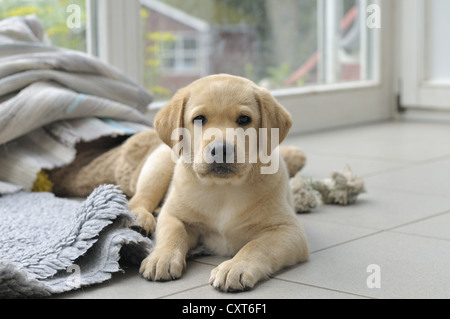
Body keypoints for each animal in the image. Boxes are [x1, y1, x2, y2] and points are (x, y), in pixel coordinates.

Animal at [134, 74, 310, 292]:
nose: (220, 149)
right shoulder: (173, 214)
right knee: (139, 198)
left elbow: (256, 246)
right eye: (199, 118)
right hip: (159, 166)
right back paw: (141, 217)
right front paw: (161, 257)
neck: (222, 188)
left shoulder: (287, 230)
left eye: (244, 119)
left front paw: (235, 267)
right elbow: (172, 231)